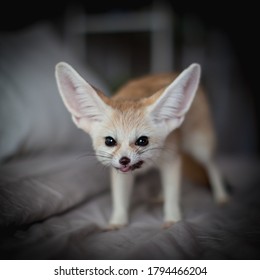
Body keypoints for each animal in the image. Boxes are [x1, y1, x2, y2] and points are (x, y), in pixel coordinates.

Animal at [54, 62, 228, 229]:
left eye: (142, 141)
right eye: (110, 141)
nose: (124, 160)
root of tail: (170, 72)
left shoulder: (172, 160)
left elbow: (173, 195)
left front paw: (173, 219)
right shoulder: (120, 172)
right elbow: (120, 199)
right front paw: (117, 222)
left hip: (201, 149)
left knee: (213, 166)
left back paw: (221, 196)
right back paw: (161, 195)